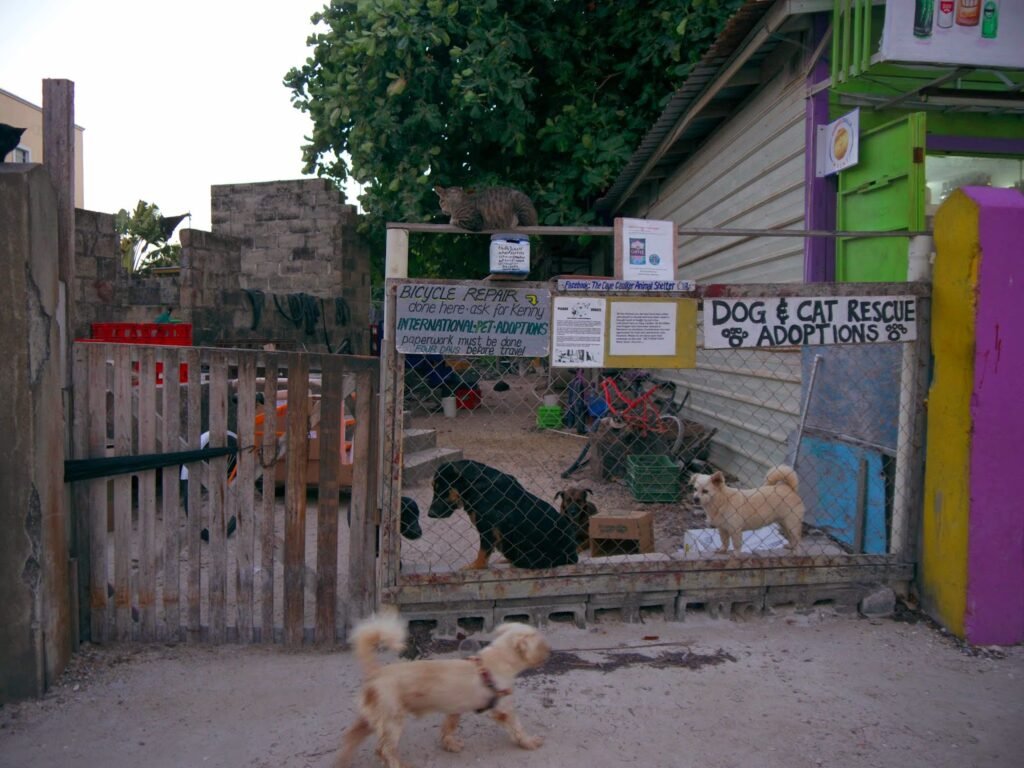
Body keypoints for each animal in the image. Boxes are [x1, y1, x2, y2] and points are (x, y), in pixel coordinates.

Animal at [333, 610, 552, 765]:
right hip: (393, 722)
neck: (496, 661)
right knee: (384, 750)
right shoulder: (504, 711)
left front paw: (450, 744)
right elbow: (517, 728)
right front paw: (530, 742)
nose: (549, 651)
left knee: (350, 737)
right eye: (541, 644)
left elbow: (448, 728)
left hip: (371, 720)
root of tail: (376, 672)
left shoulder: (455, 710)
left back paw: (343, 761)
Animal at [425, 460, 585, 569]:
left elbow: (482, 554)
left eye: (441, 489)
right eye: (434, 488)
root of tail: (573, 556)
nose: (429, 514)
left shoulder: (487, 529)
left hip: (526, 556)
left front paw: (475, 567)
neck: (474, 485)